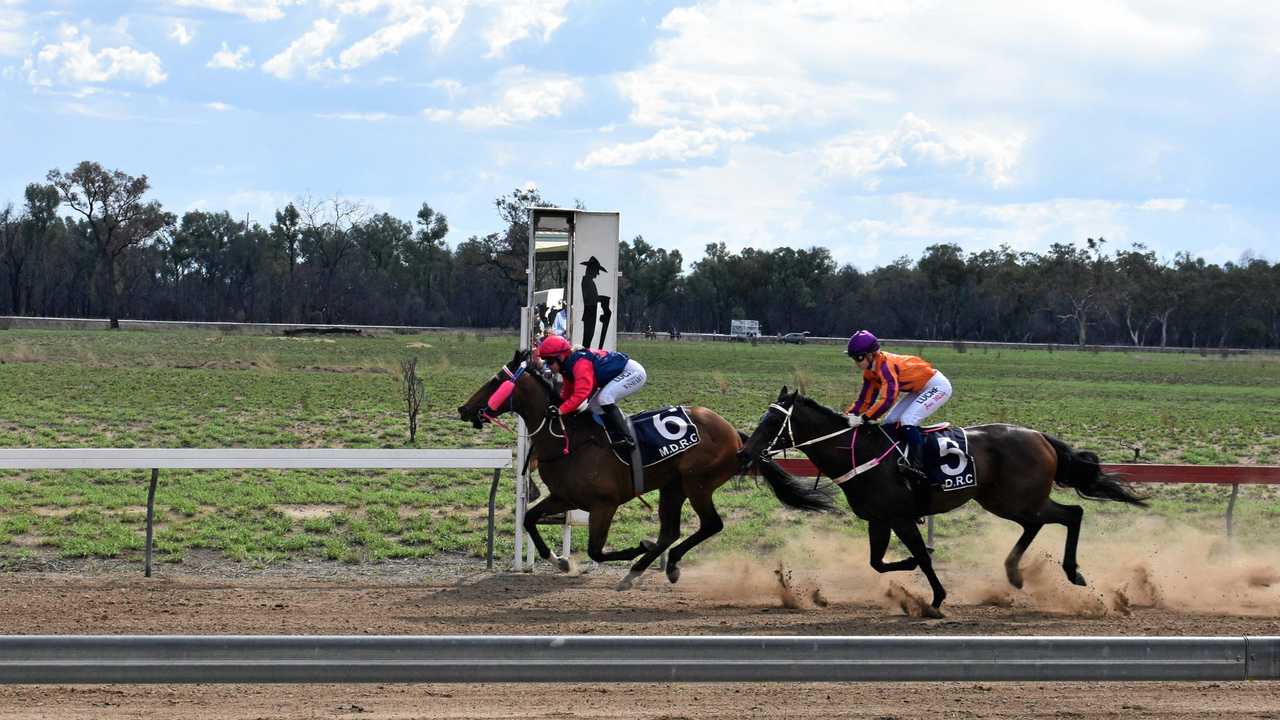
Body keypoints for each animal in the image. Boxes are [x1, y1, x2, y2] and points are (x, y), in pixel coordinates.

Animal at [460, 348, 839, 589]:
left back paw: (659, 565)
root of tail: (735, 434)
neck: (568, 437)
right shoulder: (565, 497)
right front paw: (560, 560)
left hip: (697, 483)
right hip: (673, 486)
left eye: (495, 382)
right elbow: (528, 519)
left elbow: (596, 550)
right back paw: (642, 570)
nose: (465, 409)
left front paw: (633, 548)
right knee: (670, 532)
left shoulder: (604, 504)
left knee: (709, 525)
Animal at [737, 386, 1146, 617]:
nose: (745, 452)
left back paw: (1072, 572)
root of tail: (1040, 436)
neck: (859, 453)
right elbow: (878, 562)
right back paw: (1014, 573)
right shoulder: (879, 519)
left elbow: (919, 555)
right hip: (1005, 500)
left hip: (1018, 498)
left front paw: (934, 600)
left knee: (1072, 513)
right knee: (1039, 522)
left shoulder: (900, 516)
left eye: (771, 422)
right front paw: (910, 580)